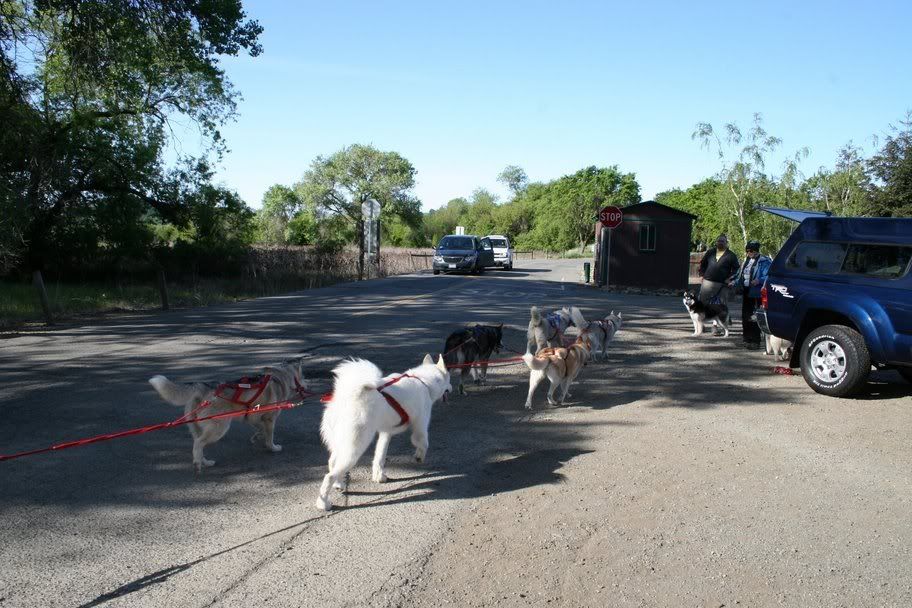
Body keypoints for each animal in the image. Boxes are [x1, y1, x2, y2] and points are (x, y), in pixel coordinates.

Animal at [318, 354, 452, 510]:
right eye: (449, 379)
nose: (451, 388)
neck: (423, 381)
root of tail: (347, 397)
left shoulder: (386, 433)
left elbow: (379, 457)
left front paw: (379, 476)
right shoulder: (421, 425)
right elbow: (423, 443)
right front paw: (419, 457)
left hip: (341, 445)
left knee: (332, 463)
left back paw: (338, 484)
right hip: (355, 448)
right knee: (329, 476)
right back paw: (323, 503)